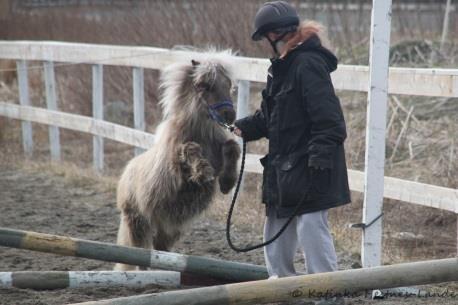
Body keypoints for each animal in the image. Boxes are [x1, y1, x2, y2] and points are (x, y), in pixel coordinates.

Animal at [114, 51, 240, 270]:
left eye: (228, 84)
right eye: (204, 85)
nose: (229, 116)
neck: (201, 132)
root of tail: (126, 172)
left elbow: (232, 146)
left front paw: (227, 183)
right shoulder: (177, 169)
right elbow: (189, 149)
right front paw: (202, 172)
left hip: (170, 228)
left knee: (160, 248)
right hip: (138, 222)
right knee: (140, 254)